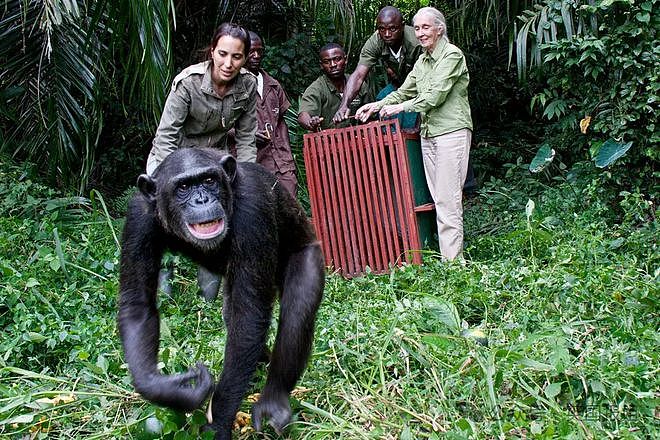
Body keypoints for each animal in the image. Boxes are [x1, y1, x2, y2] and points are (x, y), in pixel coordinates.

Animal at [118, 146, 324, 438]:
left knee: (296, 314)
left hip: (308, 254)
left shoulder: (253, 209)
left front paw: (217, 423)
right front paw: (172, 391)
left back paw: (274, 400)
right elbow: (138, 304)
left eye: (208, 181)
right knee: (231, 315)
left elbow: (248, 318)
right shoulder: (138, 217)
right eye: (183, 187)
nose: (202, 199)